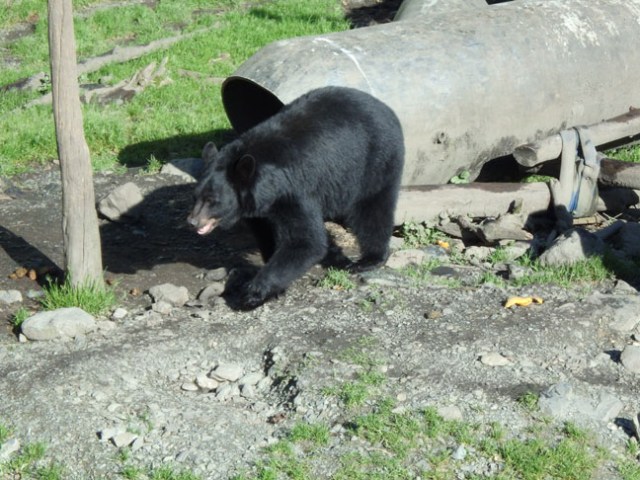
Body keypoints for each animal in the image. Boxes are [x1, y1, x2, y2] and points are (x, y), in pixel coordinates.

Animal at [188, 86, 404, 310]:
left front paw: (254, 292)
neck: (265, 183)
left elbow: (305, 241)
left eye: (212, 200)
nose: (193, 222)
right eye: (196, 197)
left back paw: (369, 259)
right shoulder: (258, 206)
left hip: (375, 161)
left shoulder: (294, 191)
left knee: (373, 209)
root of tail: (384, 107)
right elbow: (267, 231)